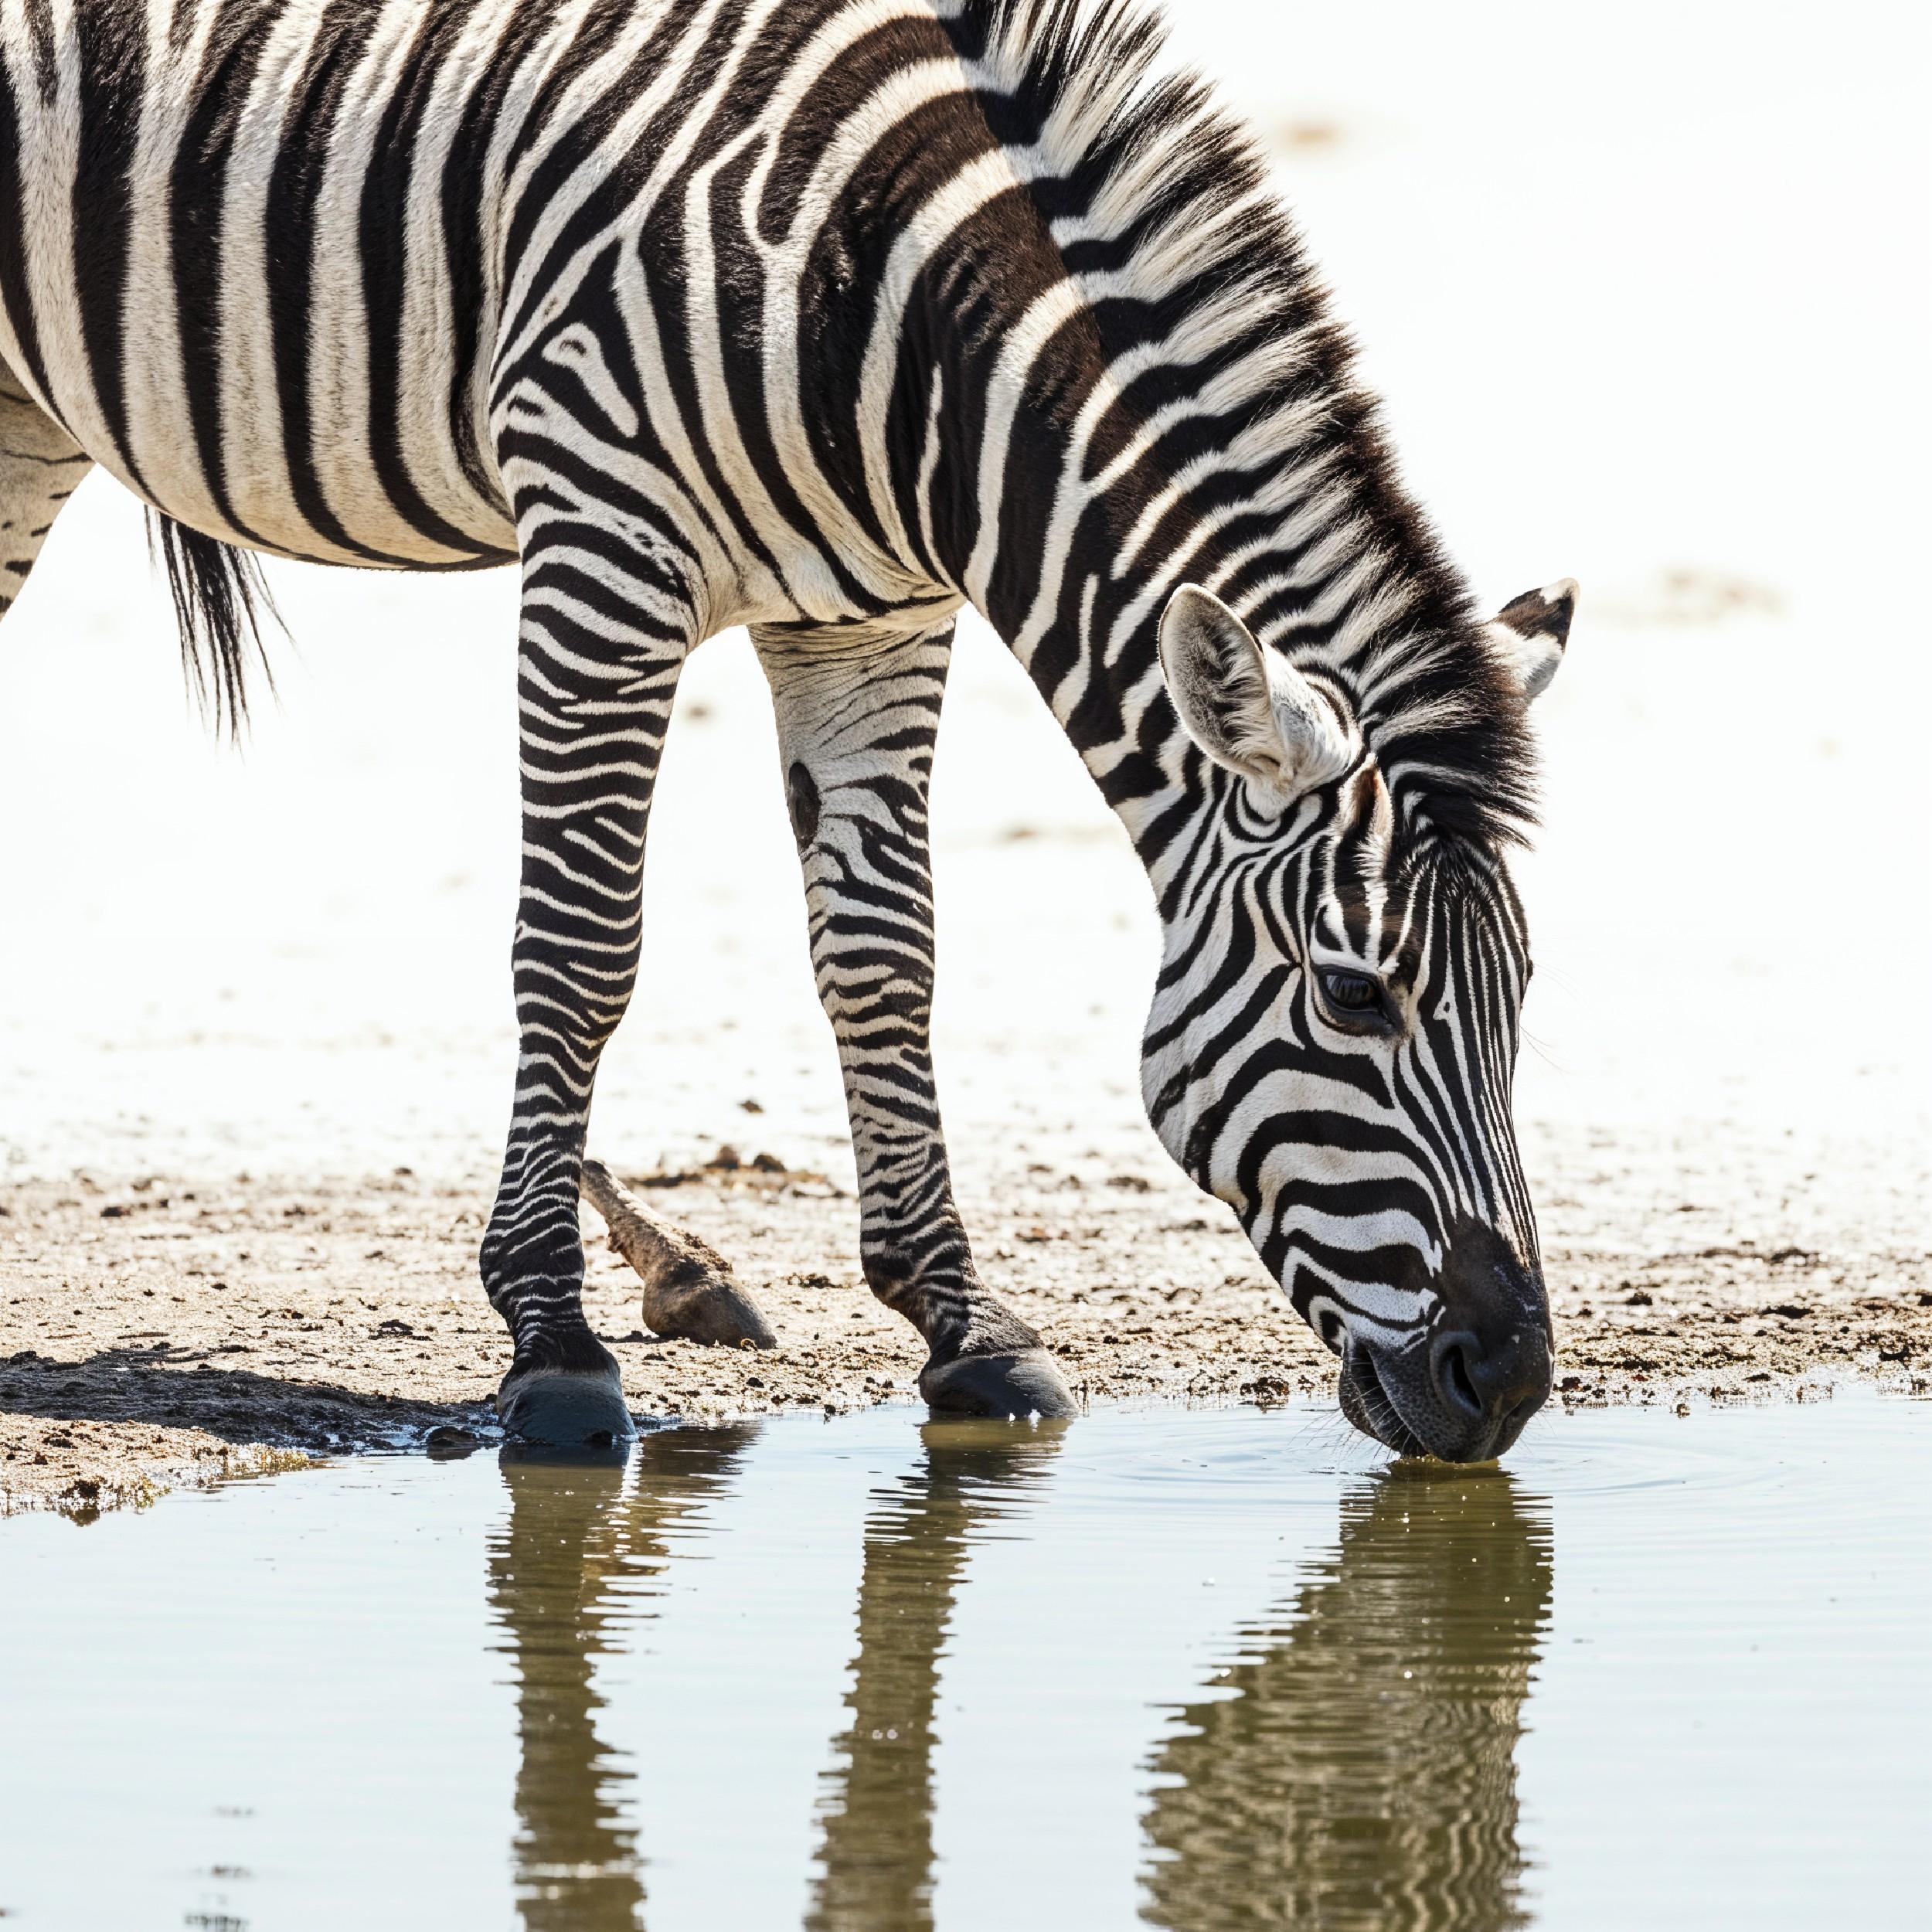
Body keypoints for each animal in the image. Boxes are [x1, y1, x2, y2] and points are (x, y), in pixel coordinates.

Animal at [0, 0, 1575, 1461]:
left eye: (1525, 994)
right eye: (1357, 995)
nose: (1507, 1385)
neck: (885, 307)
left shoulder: (874, 618)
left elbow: (884, 958)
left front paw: (963, 1323)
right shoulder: (605, 543)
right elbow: (581, 947)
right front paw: (552, 1338)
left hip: (27, 418)